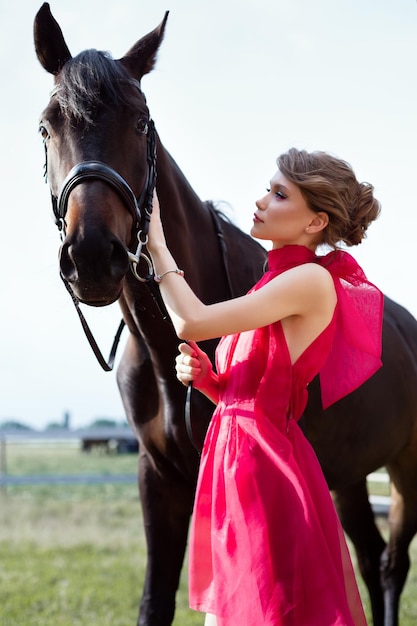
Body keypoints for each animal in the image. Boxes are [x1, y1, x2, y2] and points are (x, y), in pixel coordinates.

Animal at [35, 4, 416, 624]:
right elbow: (155, 602)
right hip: (353, 476)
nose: (92, 256)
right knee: (371, 556)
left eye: (141, 122)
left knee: (390, 564)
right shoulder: (158, 480)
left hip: (407, 469)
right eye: (48, 125)